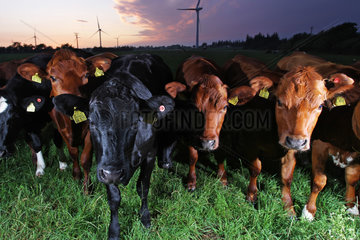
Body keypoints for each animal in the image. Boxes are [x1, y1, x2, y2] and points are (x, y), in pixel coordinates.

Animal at [45, 49, 116, 192]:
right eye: (52, 77)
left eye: (87, 75)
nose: (72, 102)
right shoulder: (61, 130)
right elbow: (73, 153)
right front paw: (76, 177)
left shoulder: (91, 129)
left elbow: (85, 158)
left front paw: (87, 188)